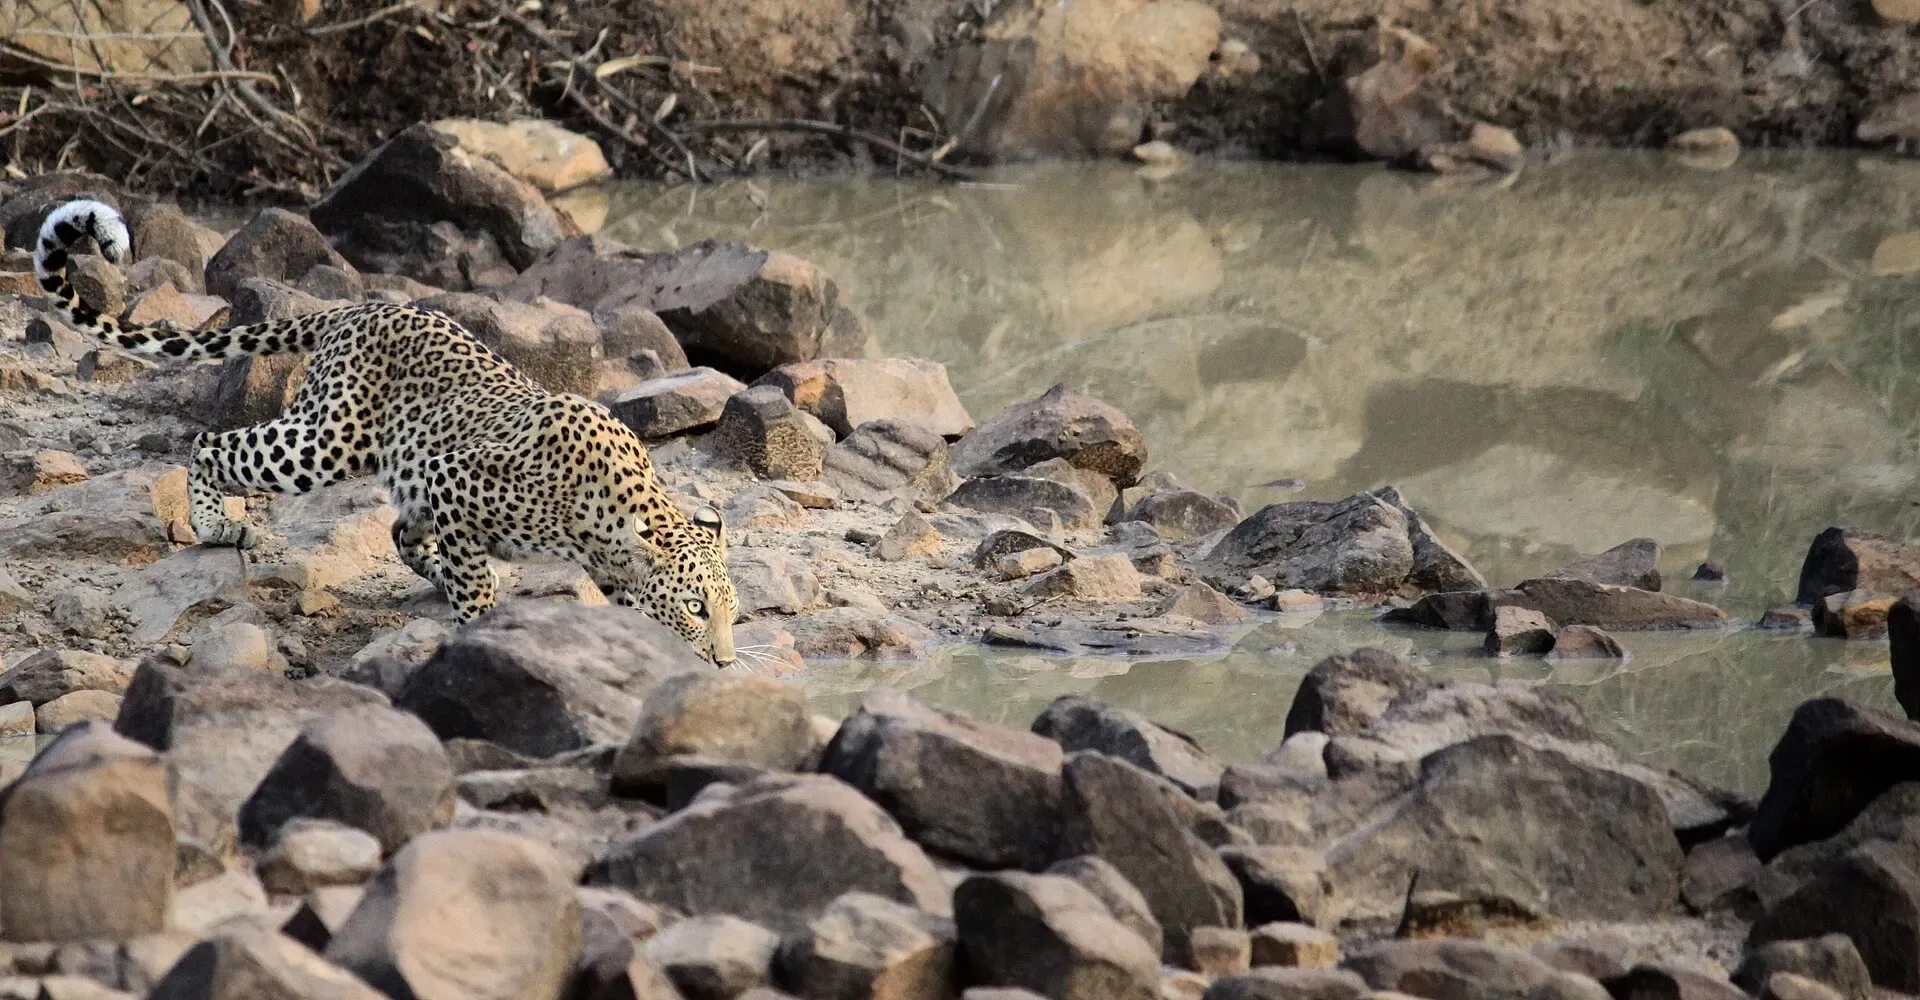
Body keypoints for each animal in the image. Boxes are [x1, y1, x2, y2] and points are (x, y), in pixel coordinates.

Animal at [32, 198, 738, 665]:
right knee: (214, 444)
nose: (727, 662)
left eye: (732, 611)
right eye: (696, 608)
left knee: (401, 530)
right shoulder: (456, 478)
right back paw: (214, 526)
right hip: (322, 443)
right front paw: (480, 631)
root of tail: (356, 308)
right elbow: (475, 586)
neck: (609, 521)